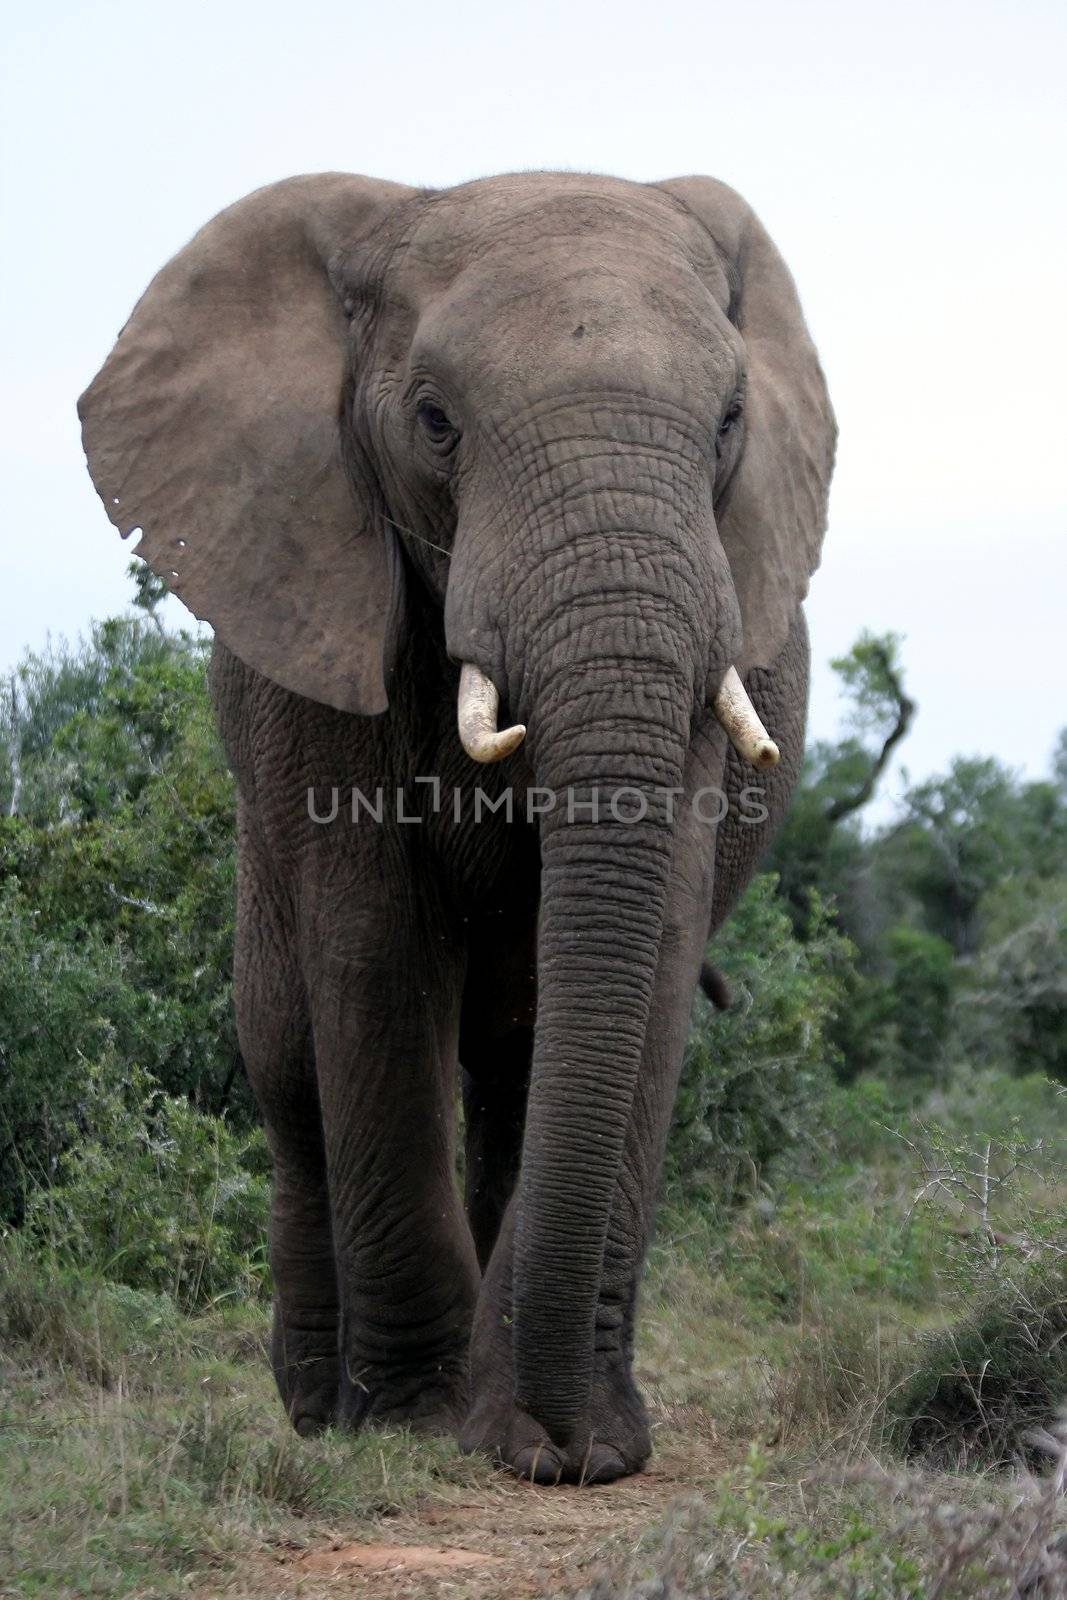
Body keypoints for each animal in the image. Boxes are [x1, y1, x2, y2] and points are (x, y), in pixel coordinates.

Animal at [79, 172, 838, 1484]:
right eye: (434, 422)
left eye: (730, 420)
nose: (563, 1445)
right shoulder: (324, 633)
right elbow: (374, 948)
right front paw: (418, 1421)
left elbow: (650, 959)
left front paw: (563, 1443)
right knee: (285, 1057)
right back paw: (317, 1405)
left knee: (518, 1066)